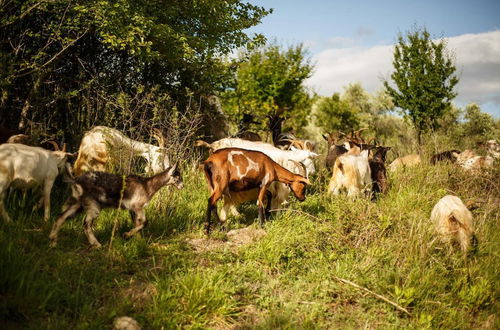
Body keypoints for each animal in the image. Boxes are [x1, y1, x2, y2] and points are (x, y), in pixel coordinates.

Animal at [49, 165, 184, 248]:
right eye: (177, 176)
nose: (182, 186)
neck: (147, 185)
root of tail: (76, 180)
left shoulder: (132, 209)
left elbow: (137, 223)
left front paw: (138, 240)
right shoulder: (138, 206)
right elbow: (145, 223)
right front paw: (127, 235)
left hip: (78, 203)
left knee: (61, 217)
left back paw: (53, 241)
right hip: (93, 205)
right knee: (86, 224)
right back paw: (96, 244)